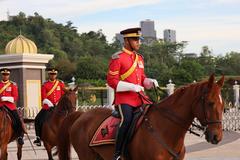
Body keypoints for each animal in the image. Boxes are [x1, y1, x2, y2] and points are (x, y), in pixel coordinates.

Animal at [58, 74, 225, 159]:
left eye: (223, 106)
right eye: (210, 103)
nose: (216, 136)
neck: (166, 129)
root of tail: (81, 115)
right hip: (87, 156)